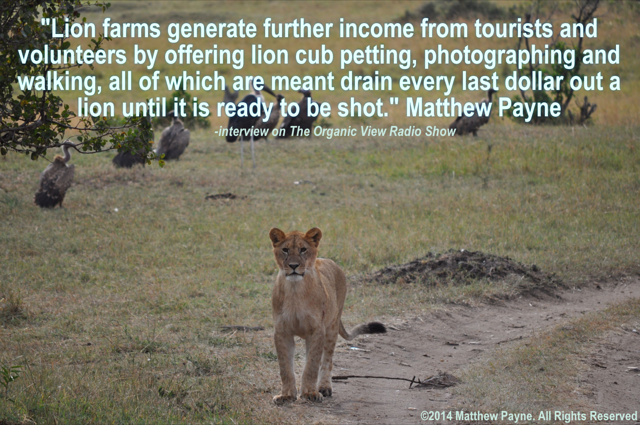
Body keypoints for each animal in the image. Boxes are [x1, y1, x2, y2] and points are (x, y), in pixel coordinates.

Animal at [268, 227, 386, 405]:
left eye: (303, 249)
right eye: (285, 250)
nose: (294, 266)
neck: (295, 290)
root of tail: (329, 261)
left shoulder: (317, 330)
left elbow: (311, 365)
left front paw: (310, 393)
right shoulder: (282, 331)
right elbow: (285, 367)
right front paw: (287, 395)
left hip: (331, 327)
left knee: (327, 360)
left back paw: (324, 387)